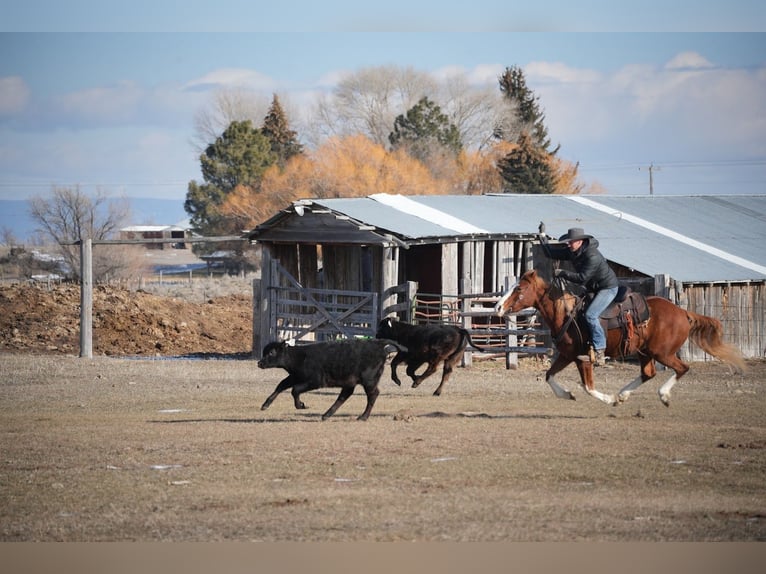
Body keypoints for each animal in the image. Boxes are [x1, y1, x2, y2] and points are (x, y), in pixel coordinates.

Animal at [494, 269, 746, 406]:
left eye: (519, 289)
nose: (497, 307)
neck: (566, 312)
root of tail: (682, 312)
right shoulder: (568, 355)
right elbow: (548, 376)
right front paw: (567, 394)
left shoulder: (584, 358)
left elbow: (588, 387)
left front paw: (609, 399)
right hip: (645, 352)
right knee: (648, 373)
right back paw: (624, 395)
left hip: (662, 353)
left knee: (682, 368)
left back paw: (662, 396)